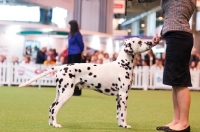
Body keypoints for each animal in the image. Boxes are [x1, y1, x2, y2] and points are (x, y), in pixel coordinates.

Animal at [19, 37, 155, 129]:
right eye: (139, 42)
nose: (150, 42)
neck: (122, 64)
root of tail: (61, 67)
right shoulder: (123, 94)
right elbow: (124, 113)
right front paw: (125, 125)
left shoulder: (118, 97)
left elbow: (118, 113)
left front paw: (120, 125)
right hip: (66, 93)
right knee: (54, 109)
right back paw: (56, 125)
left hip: (59, 93)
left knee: (51, 107)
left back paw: (51, 123)